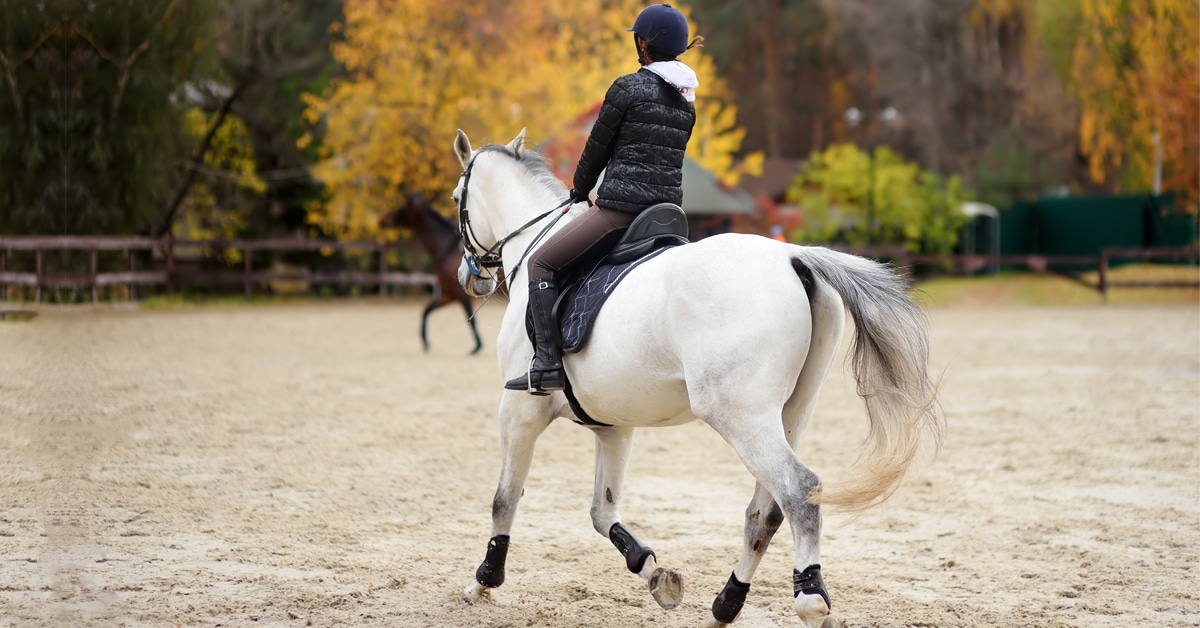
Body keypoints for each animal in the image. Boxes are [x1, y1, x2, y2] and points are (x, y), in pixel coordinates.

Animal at [379, 194, 484, 355]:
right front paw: (425, 342)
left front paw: (477, 346)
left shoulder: (461, 295)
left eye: (403, 208)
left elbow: (470, 318)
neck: (448, 249)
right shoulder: (449, 294)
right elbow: (426, 310)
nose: (383, 220)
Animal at [451, 129, 944, 628]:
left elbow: (504, 499)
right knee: (764, 512)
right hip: (788, 415)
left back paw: (810, 600)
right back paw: (725, 606)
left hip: (740, 416)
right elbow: (601, 511)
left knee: (799, 492)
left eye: (456, 199)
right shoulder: (613, 426)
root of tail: (794, 257)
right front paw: (654, 572)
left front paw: (484, 582)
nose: (471, 278)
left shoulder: (519, 412)